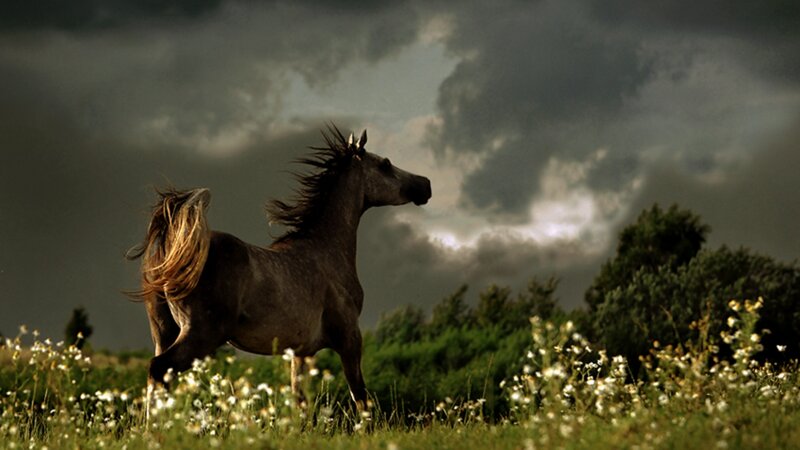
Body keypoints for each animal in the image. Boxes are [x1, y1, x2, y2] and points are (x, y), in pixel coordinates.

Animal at [127, 126, 432, 410]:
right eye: (385, 164)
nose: (425, 184)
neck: (325, 250)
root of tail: (171, 252)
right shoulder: (350, 339)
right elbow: (361, 397)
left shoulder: (302, 353)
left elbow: (301, 403)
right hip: (199, 335)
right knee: (159, 368)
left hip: (164, 332)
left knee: (158, 378)